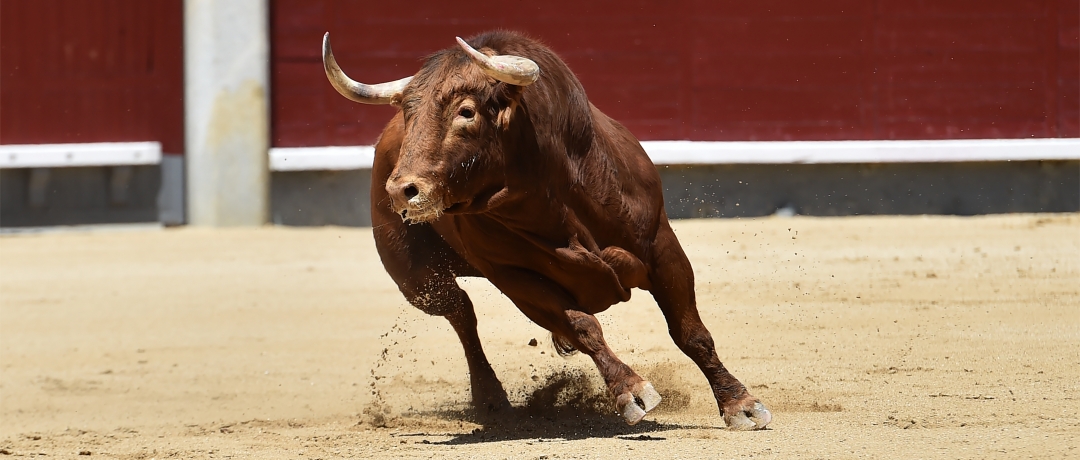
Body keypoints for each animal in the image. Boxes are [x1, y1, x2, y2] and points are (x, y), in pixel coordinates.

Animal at [319, 31, 768, 431]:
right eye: (408, 113)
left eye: (466, 112)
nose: (401, 190)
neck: (551, 197)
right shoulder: (516, 280)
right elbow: (583, 325)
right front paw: (631, 391)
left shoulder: (662, 247)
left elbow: (690, 331)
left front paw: (740, 404)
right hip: (417, 280)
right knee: (461, 313)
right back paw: (492, 401)